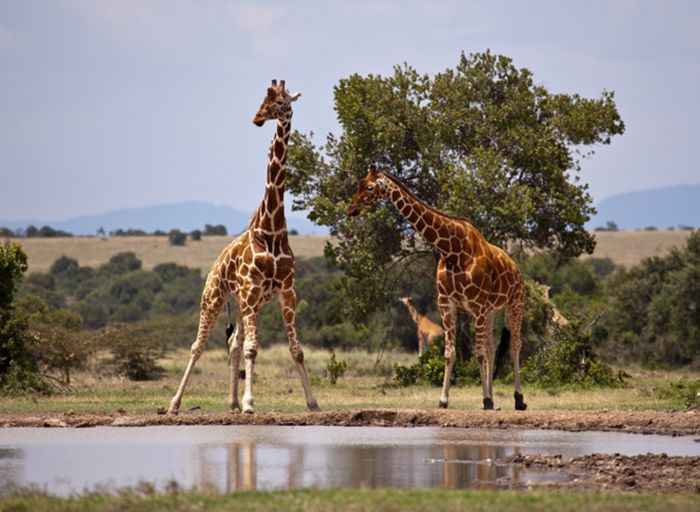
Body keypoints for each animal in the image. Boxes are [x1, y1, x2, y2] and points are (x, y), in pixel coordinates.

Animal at [168, 80, 322, 416]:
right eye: (264, 100)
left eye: (281, 101)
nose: (257, 118)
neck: (271, 228)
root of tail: (215, 263)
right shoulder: (252, 291)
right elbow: (253, 349)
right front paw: (252, 403)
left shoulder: (286, 291)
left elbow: (296, 350)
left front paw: (312, 402)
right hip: (215, 297)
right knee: (199, 345)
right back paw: (174, 404)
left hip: (243, 304)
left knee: (234, 342)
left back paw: (232, 402)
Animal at [348, 168, 528, 412]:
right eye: (358, 184)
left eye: (369, 187)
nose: (351, 209)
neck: (452, 250)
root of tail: (516, 268)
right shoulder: (448, 303)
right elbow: (450, 353)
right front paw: (444, 400)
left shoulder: (478, 305)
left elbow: (479, 354)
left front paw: (487, 400)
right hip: (491, 311)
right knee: (491, 347)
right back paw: (495, 396)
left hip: (514, 303)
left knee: (515, 345)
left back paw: (519, 399)